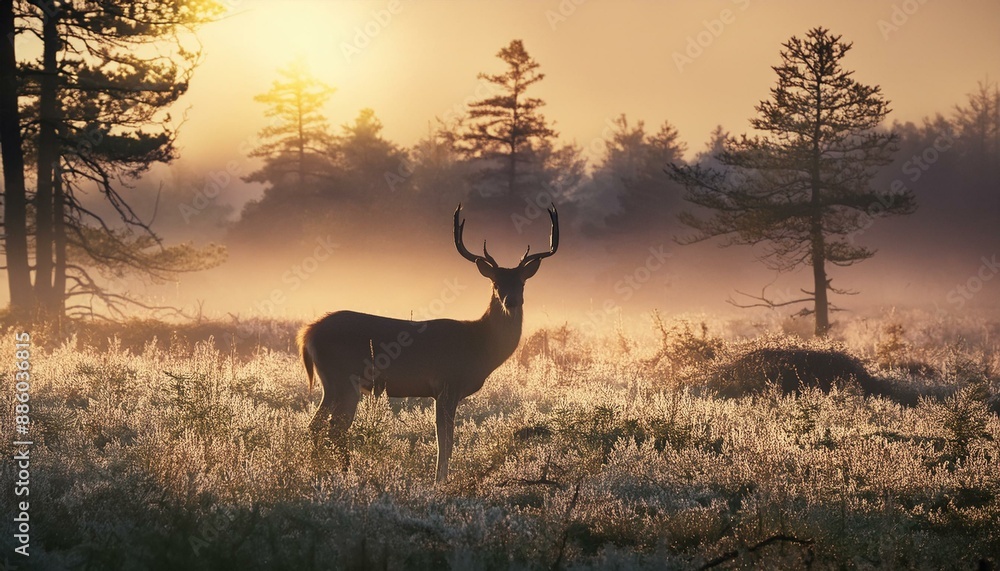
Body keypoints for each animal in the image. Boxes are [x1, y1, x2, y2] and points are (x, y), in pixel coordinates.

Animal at [297, 203, 558, 483]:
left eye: (522, 283)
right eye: (495, 283)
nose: (511, 301)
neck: (479, 344)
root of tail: (308, 333)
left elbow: (445, 439)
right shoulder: (448, 383)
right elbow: (445, 440)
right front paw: (440, 480)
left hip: (331, 383)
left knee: (316, 425)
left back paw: (319, 470)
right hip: (344, 378)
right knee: (334, 428)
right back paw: (345, 472)